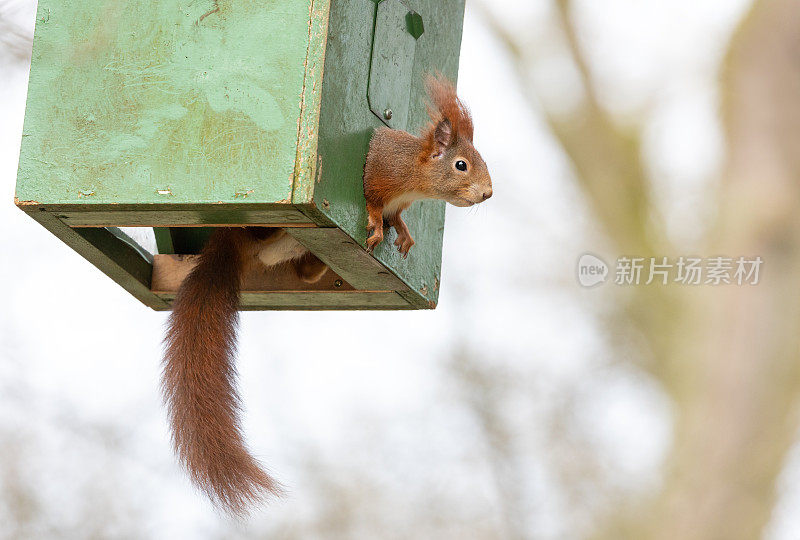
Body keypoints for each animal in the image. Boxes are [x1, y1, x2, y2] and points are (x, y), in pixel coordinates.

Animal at [364, 73, 490, 255]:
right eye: (461, 165)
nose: (488, 193)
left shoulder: (398, 205)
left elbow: (395, 217)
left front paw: (404, 232)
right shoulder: (377, 180)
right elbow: (373, 204)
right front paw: (377, 229)